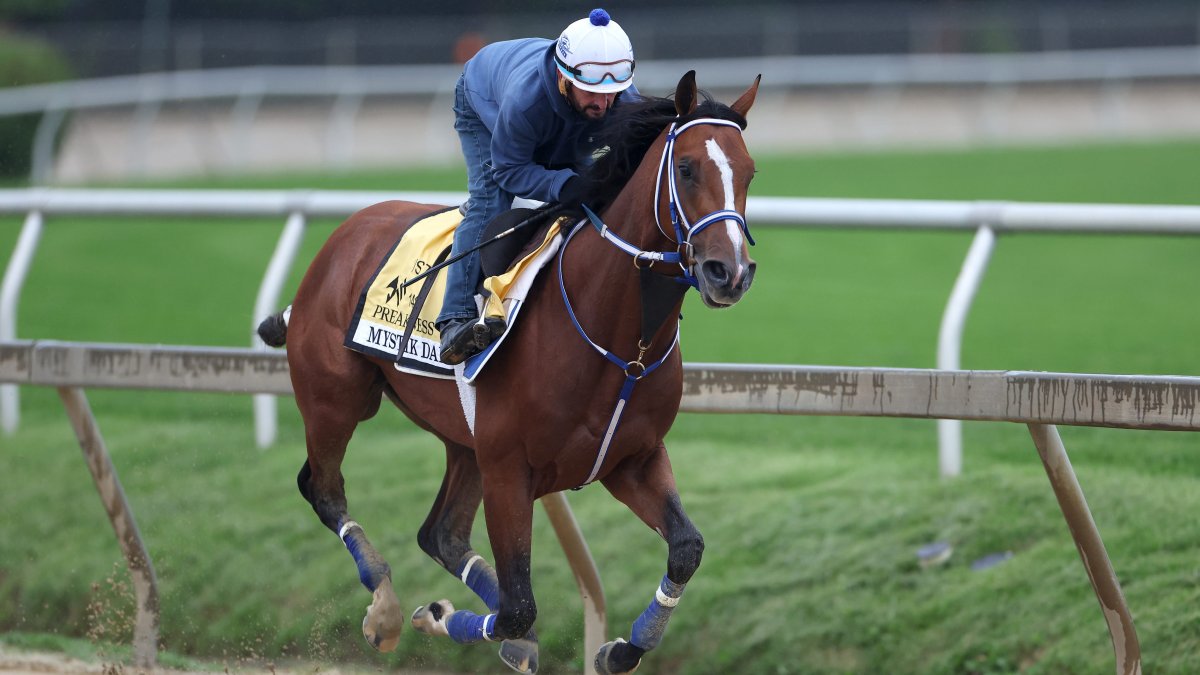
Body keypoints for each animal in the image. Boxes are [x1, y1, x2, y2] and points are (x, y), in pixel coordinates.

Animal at [257, 70, 759, 674]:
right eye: (686, 168)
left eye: (749, 171)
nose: (728, 272)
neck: (619, 340)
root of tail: (342, 235)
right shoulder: (509, 470)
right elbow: (519, 606)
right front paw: (438, 617)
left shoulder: (630, 460)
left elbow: (686, 549)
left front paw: (620, 649)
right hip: (337, 401)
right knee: (324, 490)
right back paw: (386, 610)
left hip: (463, 442)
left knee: (441, 534)